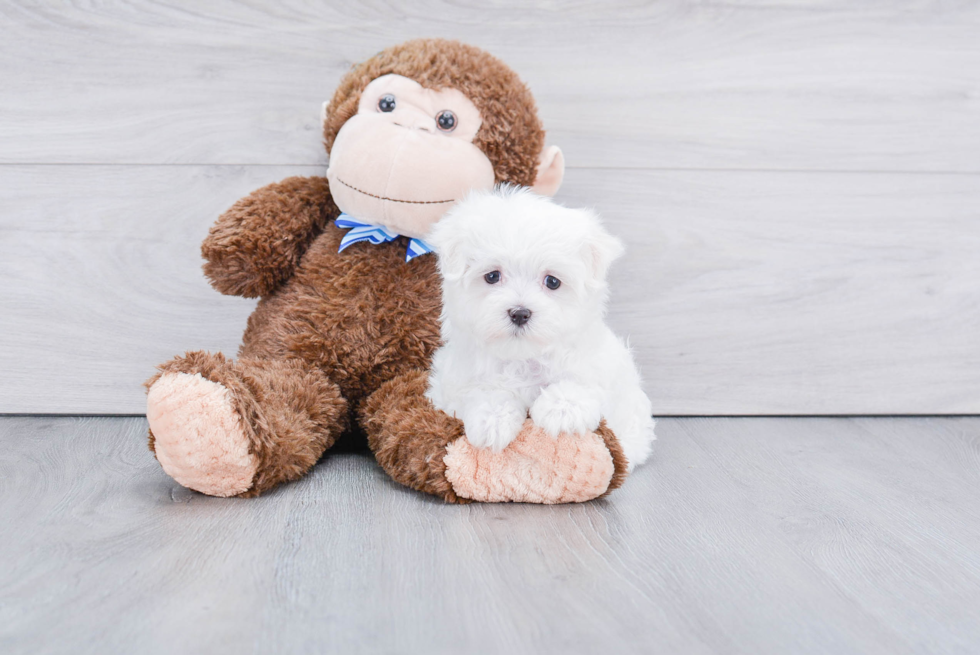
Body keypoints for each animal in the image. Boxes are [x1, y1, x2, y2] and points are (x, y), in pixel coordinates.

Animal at [424, 187, 656, 468]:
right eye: (492, 276)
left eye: (552, 282)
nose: (520, 313)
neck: (522, 357)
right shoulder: (454, 382)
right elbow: (482, 391)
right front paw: (492, 419)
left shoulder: (598, 367)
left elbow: (583, 383)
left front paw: (561, 409)